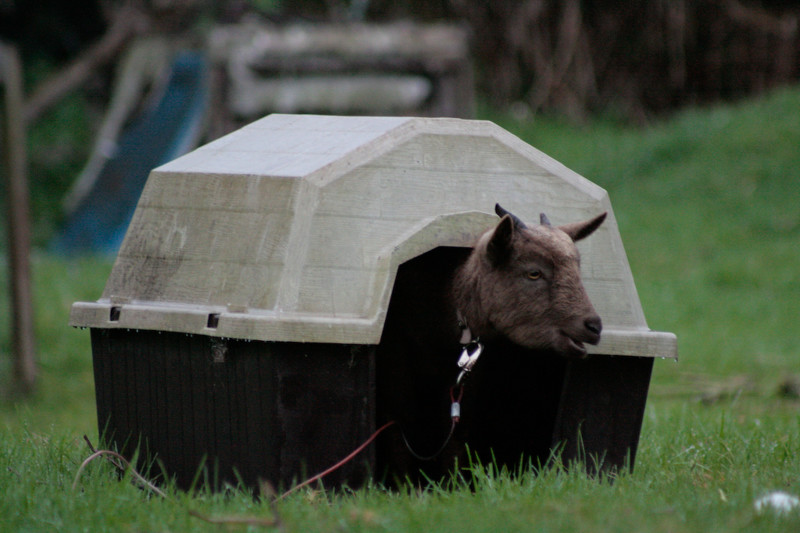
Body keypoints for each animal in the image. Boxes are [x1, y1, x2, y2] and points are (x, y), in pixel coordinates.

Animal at [376, 203, 608, 482]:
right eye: (533, 273)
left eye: (577, 270)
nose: (593, 326)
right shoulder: (396, 365)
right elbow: (398, 425)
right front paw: (405, 485)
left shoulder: (468, 377)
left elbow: (457, 430)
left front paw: (455, 483)